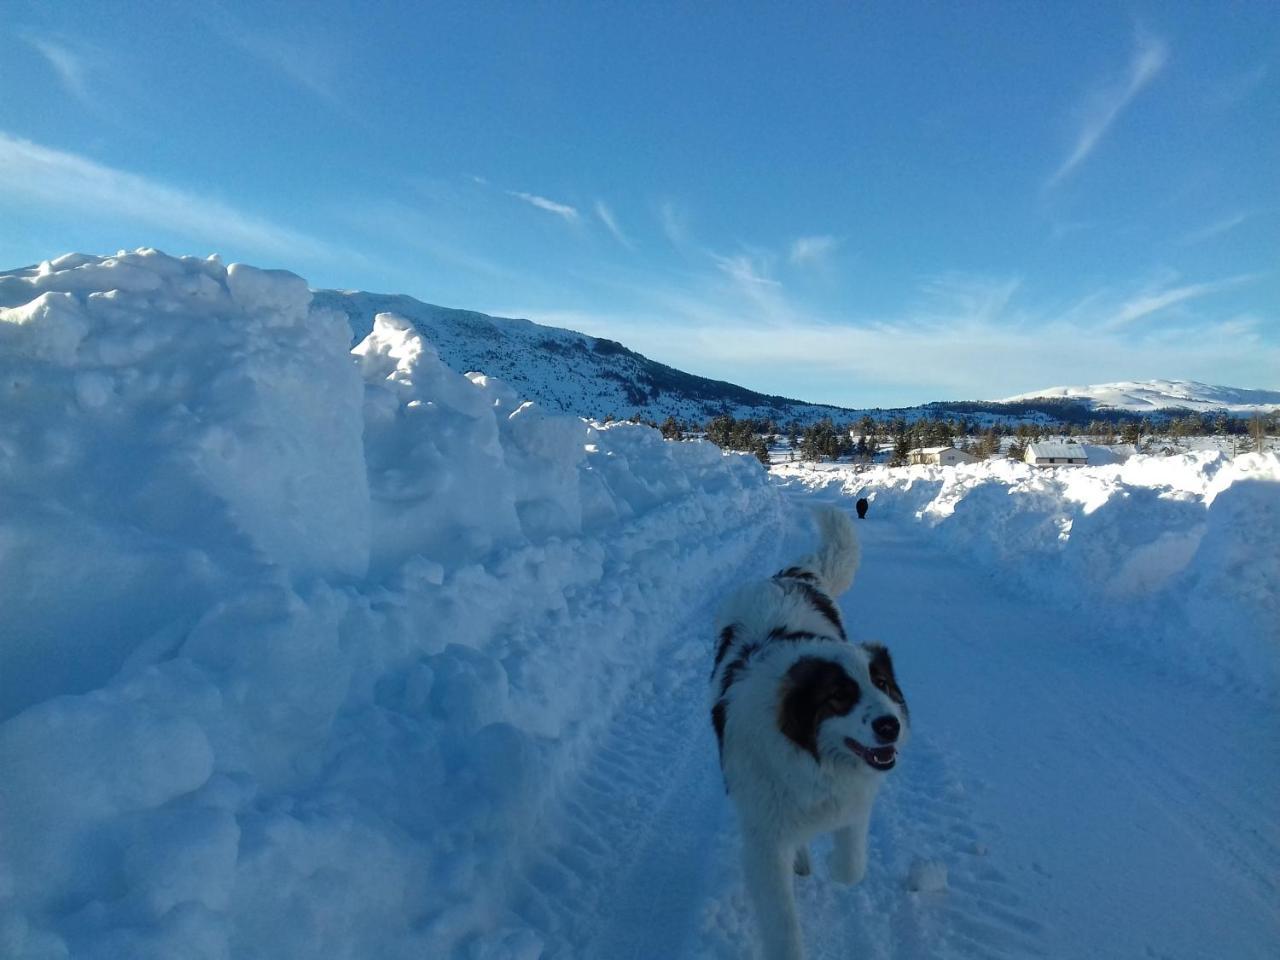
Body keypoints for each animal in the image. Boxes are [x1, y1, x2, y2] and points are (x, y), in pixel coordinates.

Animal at [711, 506, 911, 957]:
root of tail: (789, 576)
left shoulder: (854, 800)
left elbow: (850, 867)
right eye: (839, 697)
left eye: (882, 684)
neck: (812, 757)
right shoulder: (764, 843)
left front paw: (837, 865)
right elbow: (783, 926)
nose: (890, 725)